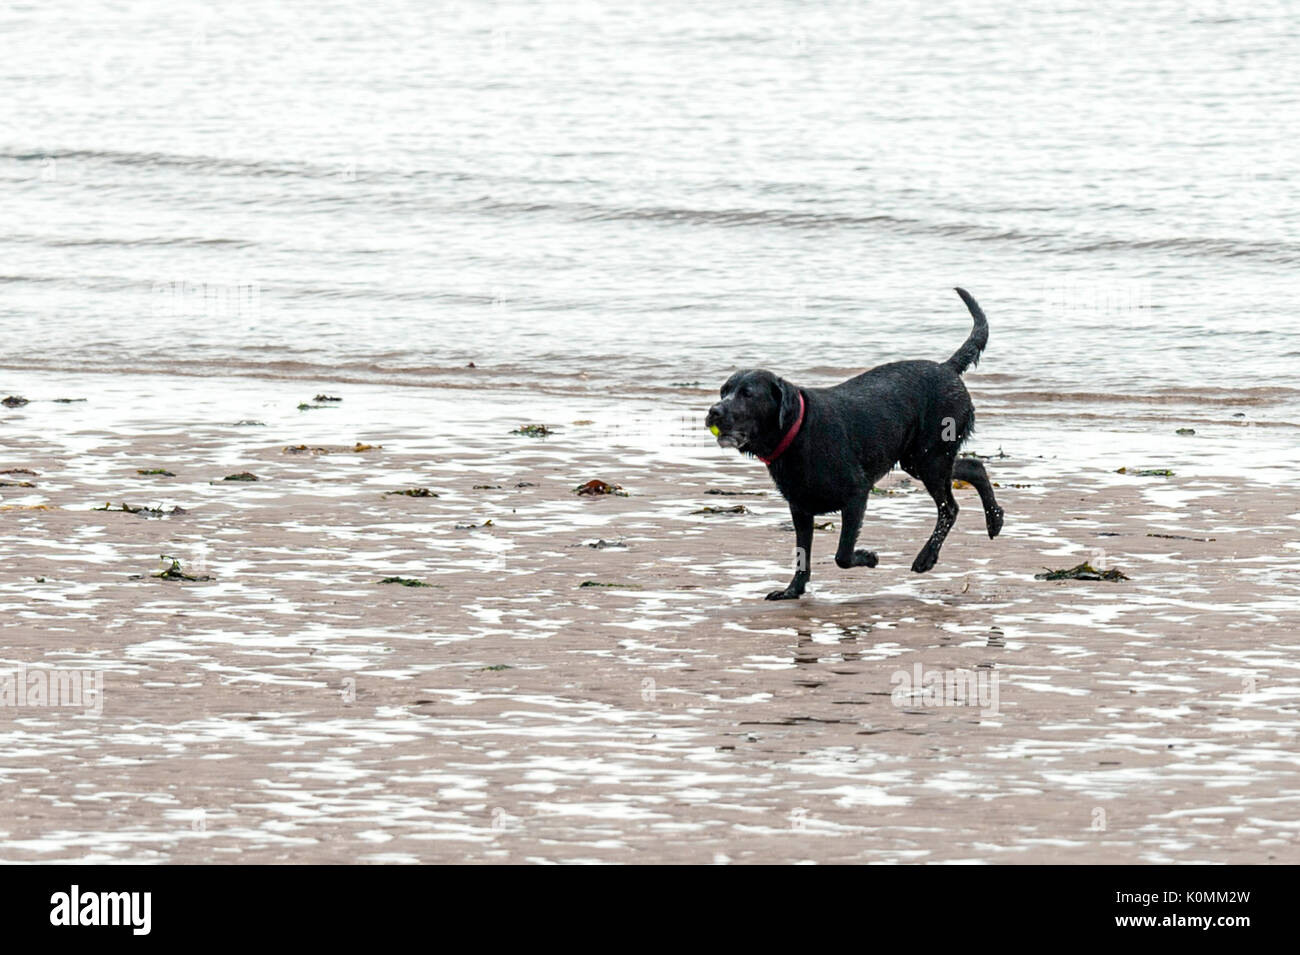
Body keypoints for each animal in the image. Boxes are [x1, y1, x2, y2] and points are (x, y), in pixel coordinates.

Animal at [712, 287, 1003, 600]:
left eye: (747, 394)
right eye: (724, 391)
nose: (713, 411)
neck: (799, 433)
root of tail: (947, 368)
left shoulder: (856, 494)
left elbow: (842, 554)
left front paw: (868, 557)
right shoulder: (800, 509)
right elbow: (803, 554)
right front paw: (793, 590)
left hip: (930, 458)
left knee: (949, 508)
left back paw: (927, 557)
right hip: (919, 460)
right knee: (973, 466)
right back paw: (995, 520)